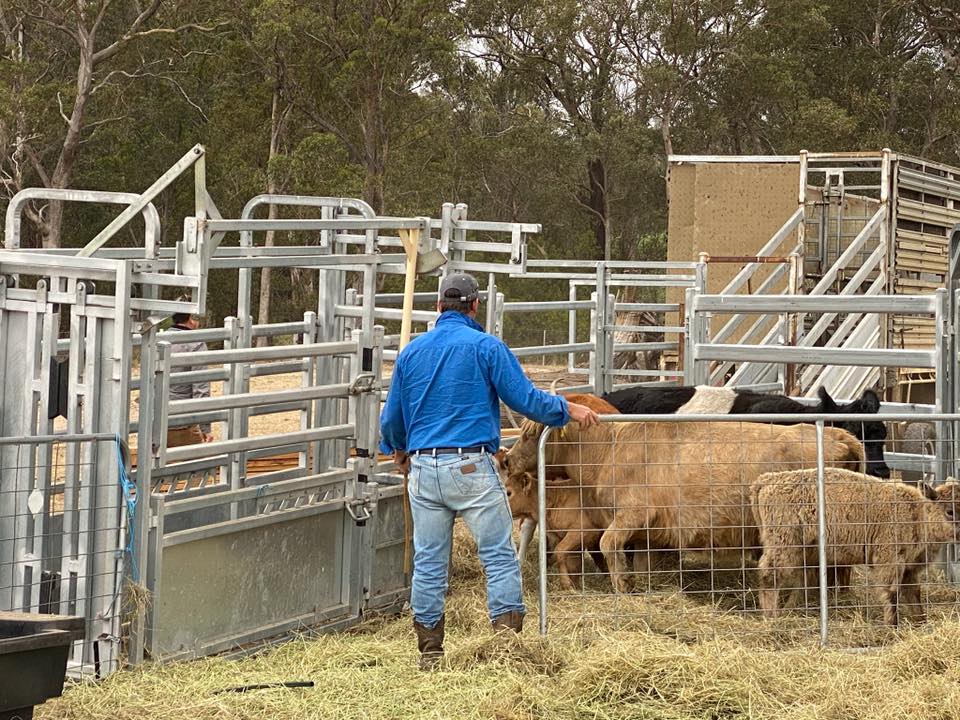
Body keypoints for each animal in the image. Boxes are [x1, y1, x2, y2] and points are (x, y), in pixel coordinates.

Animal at [503, 417, 864, 593]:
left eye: (530, 434)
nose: (506, 459)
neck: (608, 449)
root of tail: (837, 435)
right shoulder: (645, 533)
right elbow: (639, 562)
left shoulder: (631, 514)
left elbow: (608, 545)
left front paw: (622, 586)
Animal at [752, 468, 960, 625]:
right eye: (950, 511)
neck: (916, 513)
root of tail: (766, 481)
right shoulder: (889, 561)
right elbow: (891, 594)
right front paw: (892, 625)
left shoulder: (909, 568)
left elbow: (914, 594)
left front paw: (921, 622)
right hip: (784, 546)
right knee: (769, 575)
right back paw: (772, 617)